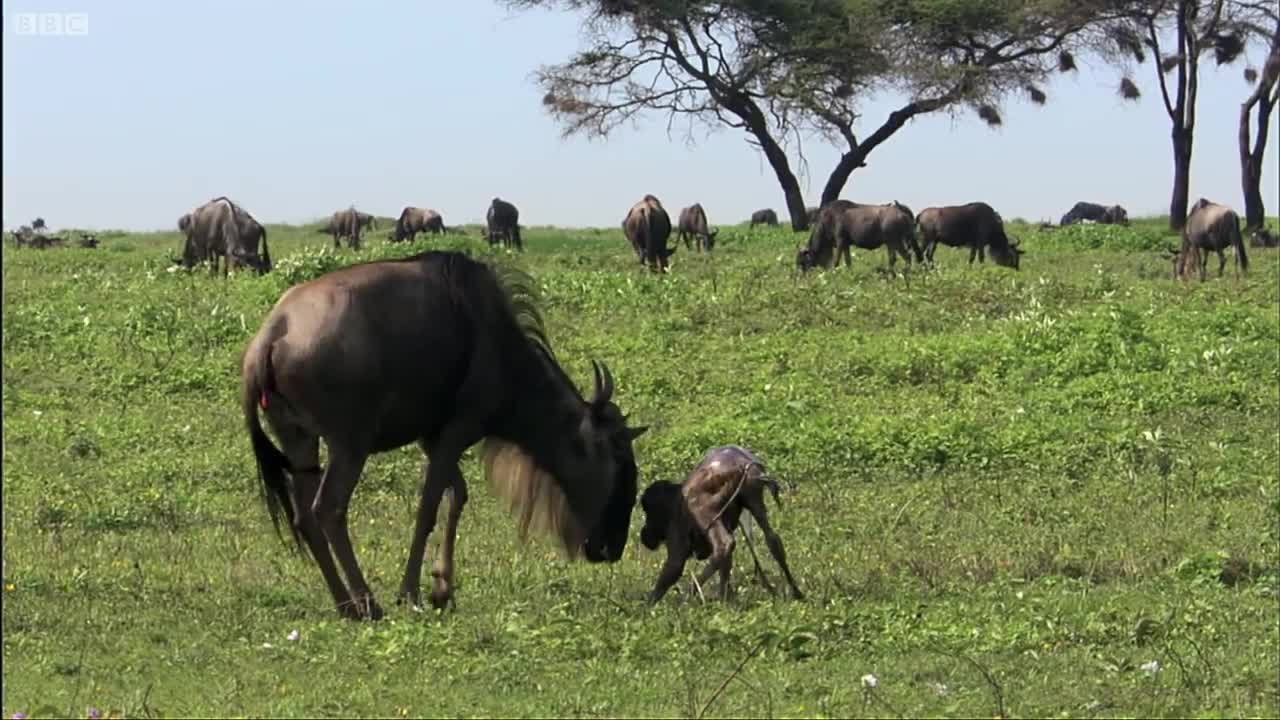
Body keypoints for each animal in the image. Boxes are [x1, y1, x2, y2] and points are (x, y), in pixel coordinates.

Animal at [637, 443, 798, 599]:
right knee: (771, 538)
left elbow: (674, 567)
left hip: (706, 513)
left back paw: (701, 595)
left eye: (648, 510)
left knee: (724, 545)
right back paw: (796, 591)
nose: (645, 532)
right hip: (753, 497)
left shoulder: (677, 534)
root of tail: (743, 463)